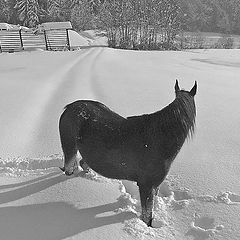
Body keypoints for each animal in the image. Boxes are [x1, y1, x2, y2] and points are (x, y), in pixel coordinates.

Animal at [58, 80, 197, 227]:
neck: (160, 137)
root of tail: (70, 107)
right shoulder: (146, 185)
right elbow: (147, 216)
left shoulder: (154, 186)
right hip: (70, 147)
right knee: (69, 167)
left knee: (83, 163)